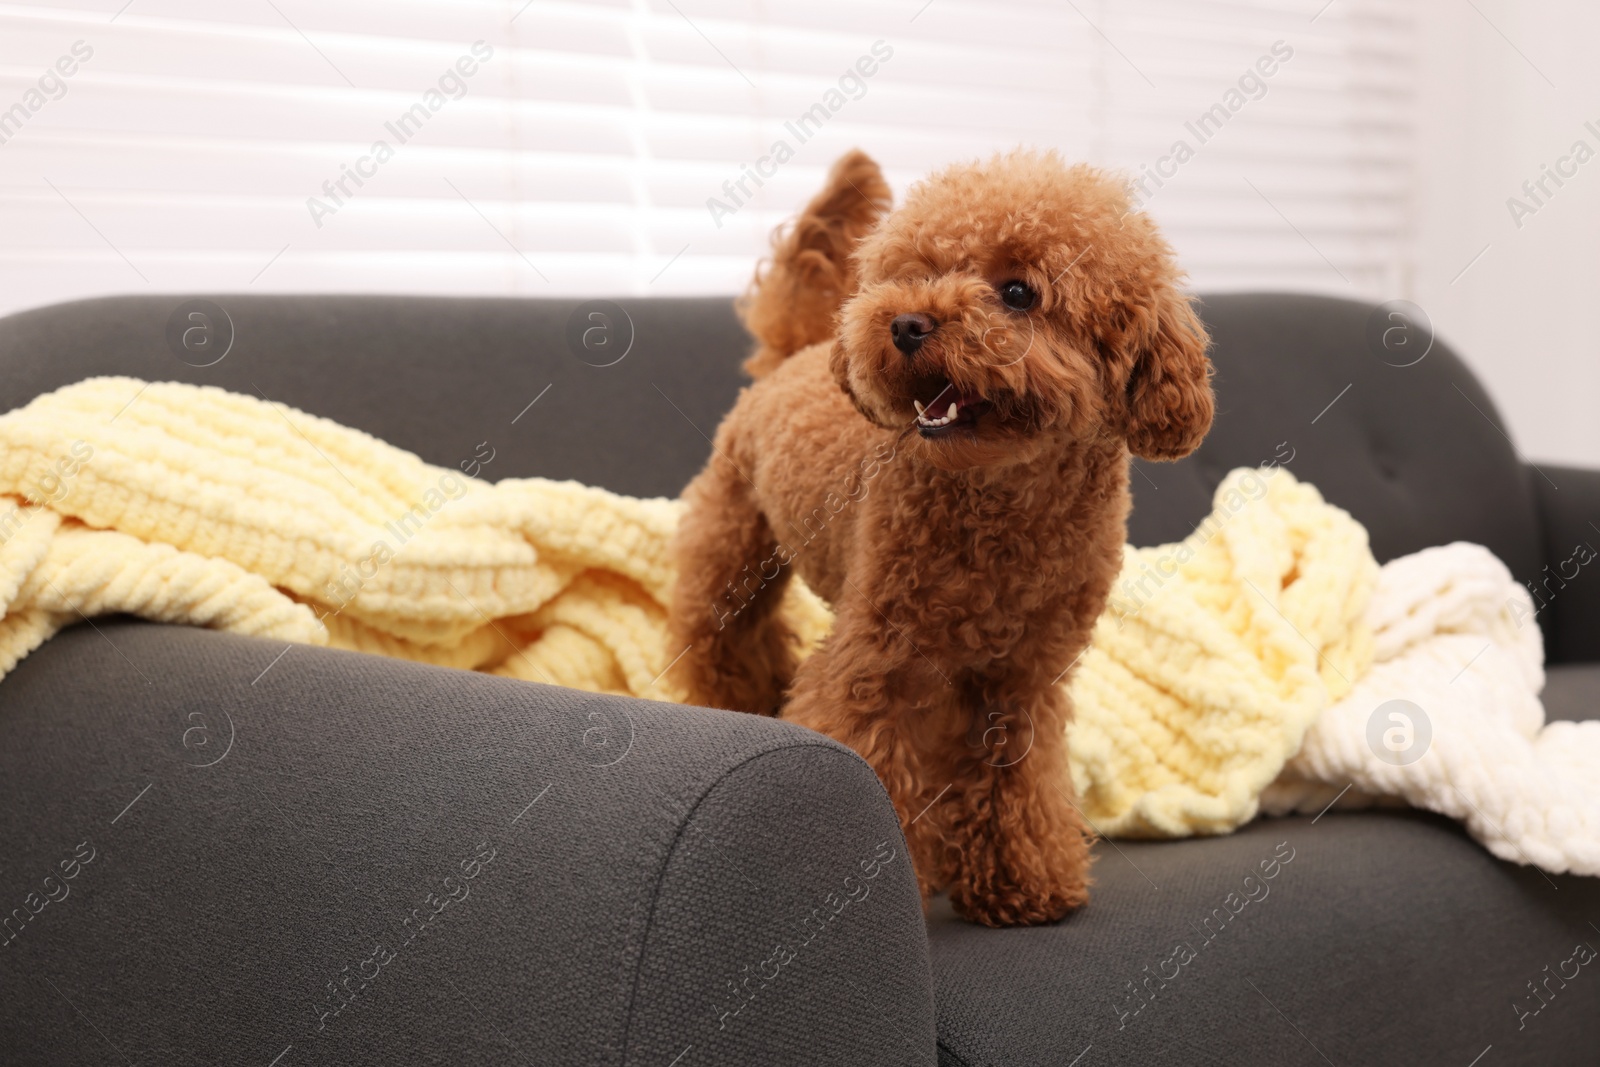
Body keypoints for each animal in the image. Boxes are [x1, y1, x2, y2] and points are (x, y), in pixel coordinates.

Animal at [672, 146, 1209, 921]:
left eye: (1018, 292)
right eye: (915, 271)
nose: (905, 324)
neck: (1004, 507)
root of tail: (797, 353)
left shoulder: (1023, 678)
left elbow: (1018, 779)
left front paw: (1024, 882)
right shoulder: (877, 662)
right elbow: (869, 751)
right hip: (732, 552)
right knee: (724, 645)